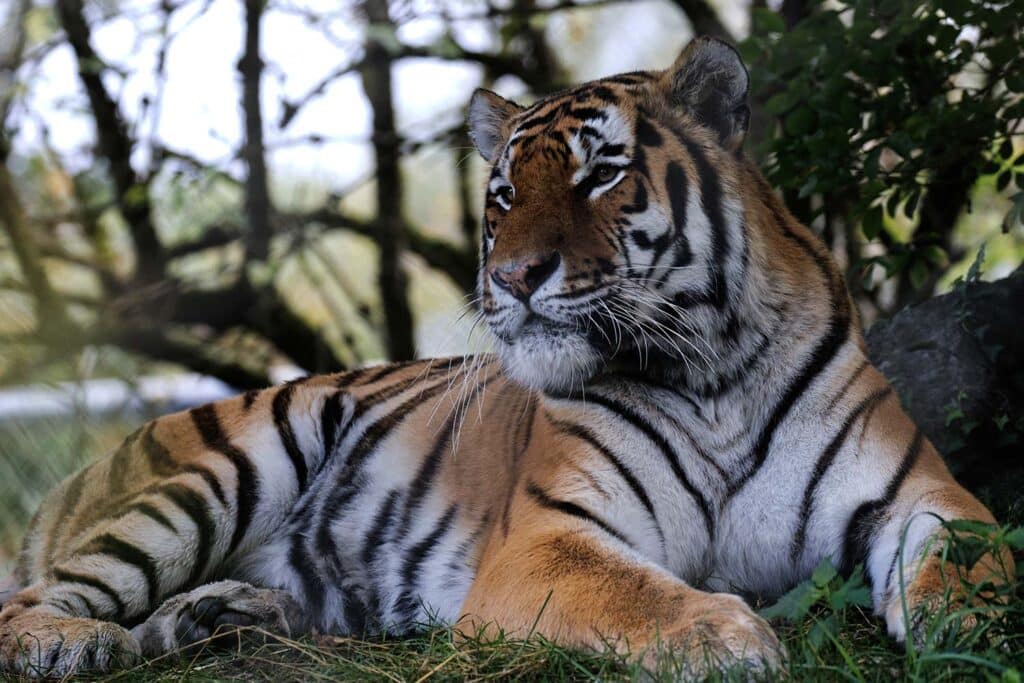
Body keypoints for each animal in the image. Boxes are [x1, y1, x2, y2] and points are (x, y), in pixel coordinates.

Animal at [0, 36, 1011, 679]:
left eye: (601, 173)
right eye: (502, 194)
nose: (514, 275)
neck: (710, 366)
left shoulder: (922, 491)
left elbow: (978, 557)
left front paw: (974, 626)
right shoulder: (548, 536)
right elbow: (636, 593)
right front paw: (727, 635)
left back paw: (224, 617)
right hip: (219, 469)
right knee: (39, 598)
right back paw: (68, 642)